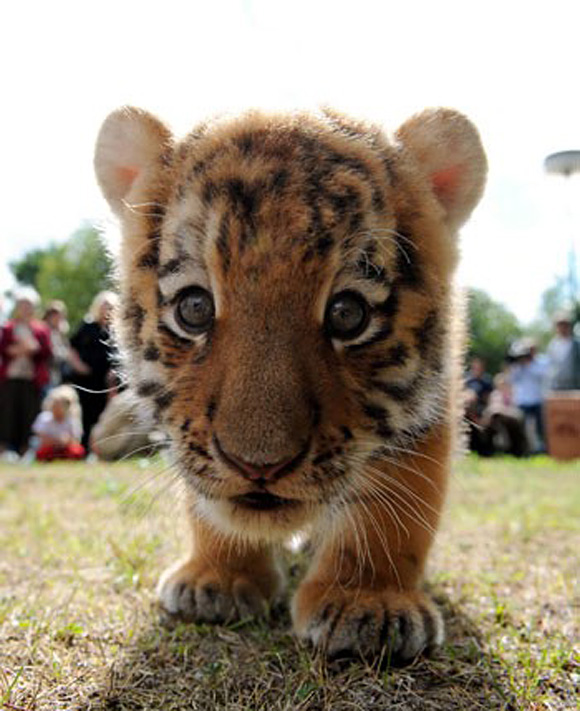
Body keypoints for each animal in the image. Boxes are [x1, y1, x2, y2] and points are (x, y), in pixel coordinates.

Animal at [94, 105, 486, 661]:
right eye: (194, 308)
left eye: (347, 314)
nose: (258, 465)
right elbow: (208, 501)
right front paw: (216, 579)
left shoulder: (429, 411)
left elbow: (392, 511)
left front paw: (369, 604)